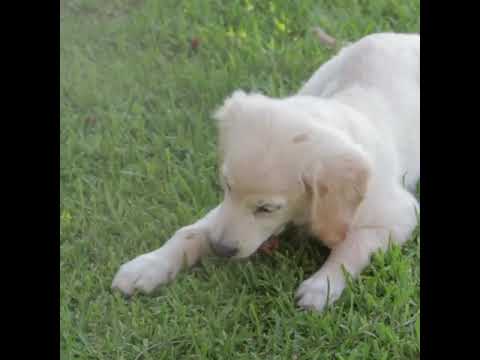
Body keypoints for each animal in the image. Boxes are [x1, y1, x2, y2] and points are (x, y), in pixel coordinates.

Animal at [112, 32, 420, 310]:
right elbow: (191, 231)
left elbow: (353, 244)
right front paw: (147, 266)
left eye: (267, 209)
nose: (220, 249)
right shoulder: (223, 211)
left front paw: (322, 286)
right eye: (226, 187)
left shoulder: (399, 215)